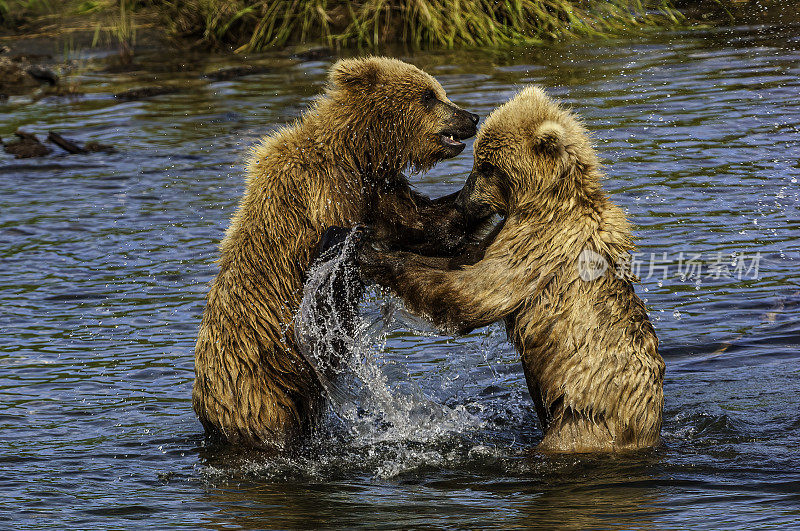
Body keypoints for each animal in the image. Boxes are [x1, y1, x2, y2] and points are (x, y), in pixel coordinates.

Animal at [192, 57, 488, 448]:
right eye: (429, 96)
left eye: (438, 90)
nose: (471, 116)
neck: (357, 153)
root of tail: (206, 407)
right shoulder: (327, 193)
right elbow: (353, 256)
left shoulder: (378, 191)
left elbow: (423, 223)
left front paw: (477, 198)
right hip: (261, 389)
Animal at [360, 86, 664, 454]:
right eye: (478, 161)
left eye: (487, 166)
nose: (462, 201)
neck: (544, 202)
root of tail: (647, 427)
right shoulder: (502, 233)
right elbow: (464, 260)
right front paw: (380, 247)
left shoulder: (538, 244)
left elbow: (475, 293)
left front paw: (371, 256)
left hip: (583, 423)